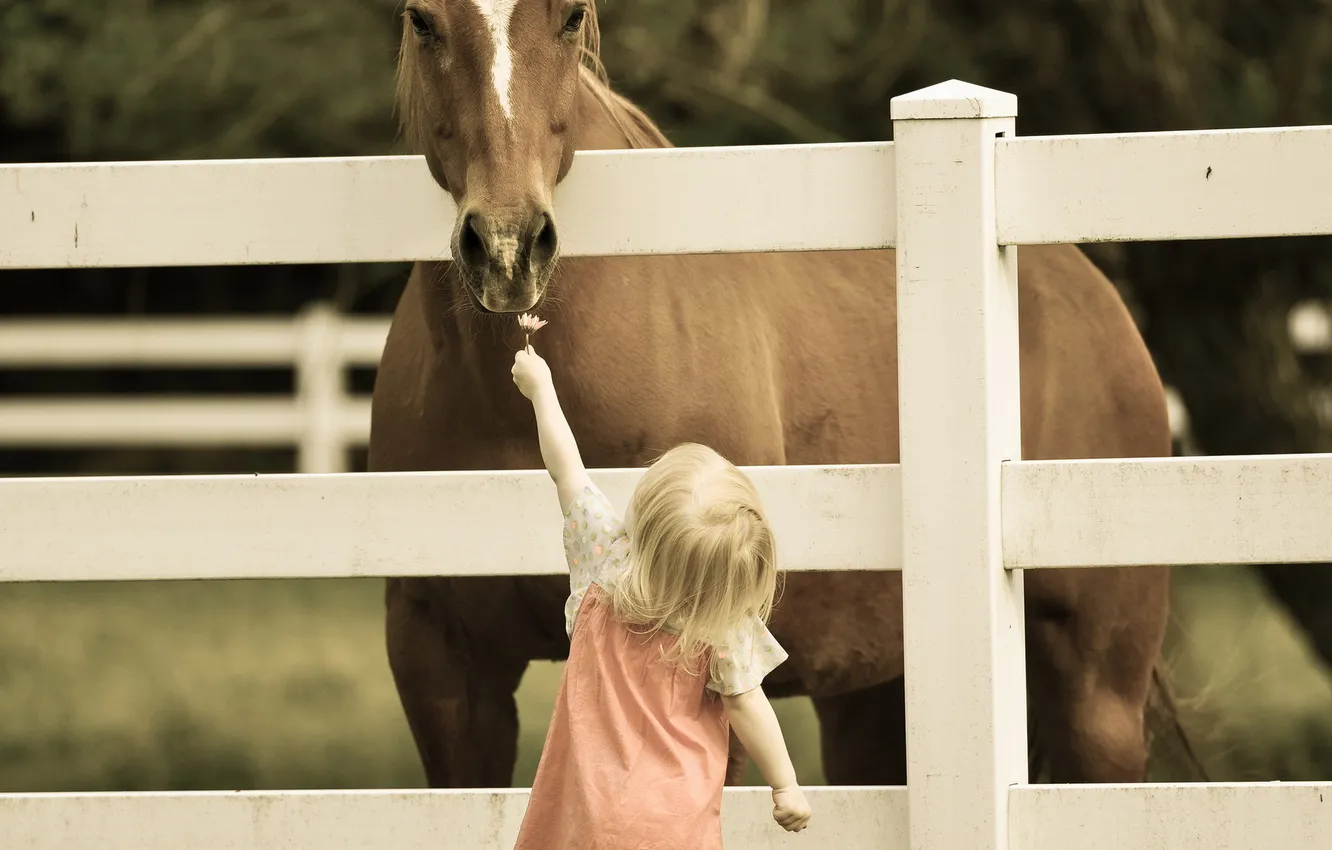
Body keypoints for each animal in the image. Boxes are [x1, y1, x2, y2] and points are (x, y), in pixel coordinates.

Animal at [370, 0, 1177, 788]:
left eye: (569, 18)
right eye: (422, 19)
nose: (508, 249)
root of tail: (1094, 294)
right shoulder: (442, 664)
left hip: (1097, 697)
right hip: (873, 695)